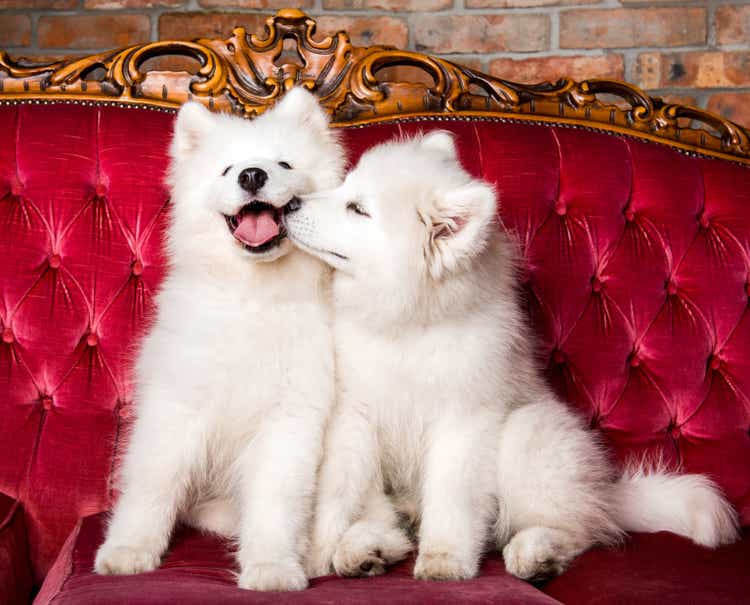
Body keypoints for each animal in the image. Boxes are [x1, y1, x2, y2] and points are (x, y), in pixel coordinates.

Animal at [92, 88, 346, 588]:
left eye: (284, 164)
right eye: (228, 169)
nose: (253, 174)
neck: (251, 294)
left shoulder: (289, 418)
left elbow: (276, 503)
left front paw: (271, 567)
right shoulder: (176, 406)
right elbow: (152, 486)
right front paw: (129, 551)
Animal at [286, 131, 740, 580]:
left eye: (358, 209)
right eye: (344, 185)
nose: (290, 203)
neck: (409, 325)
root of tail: (607, 492)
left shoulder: (464, 420)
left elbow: (451, 496)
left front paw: (444, 560)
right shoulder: (353, 414)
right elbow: (336, 489)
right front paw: (314, 554)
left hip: (531, 432)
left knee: (577, 528)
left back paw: (537, 552)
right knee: (390, 520)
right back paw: (367, 548)